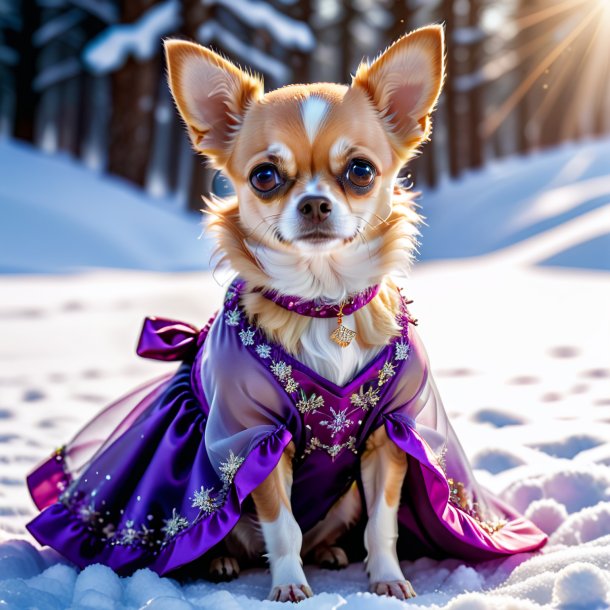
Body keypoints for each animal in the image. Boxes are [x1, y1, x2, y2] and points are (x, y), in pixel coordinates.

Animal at [164, 27, 444, 600]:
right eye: (265, 176)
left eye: (360, 170)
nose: (314, 203)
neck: (323, 303)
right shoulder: (257, 439)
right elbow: (283, 527)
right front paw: (289, 586)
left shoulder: (390, 434)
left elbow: (382, 524)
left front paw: (388, 579)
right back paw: (220, 561)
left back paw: (332, 552)